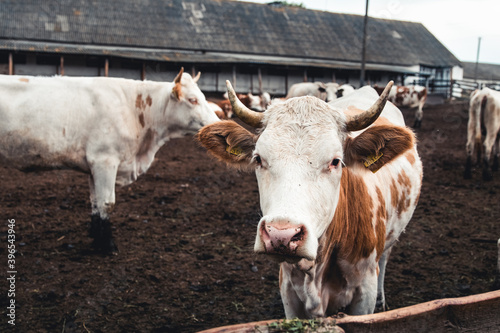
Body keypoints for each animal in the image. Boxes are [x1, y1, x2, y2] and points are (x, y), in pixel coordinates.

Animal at [0, 68, 219, 253]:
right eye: (192, 100)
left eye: (203, 97)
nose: (217, 125)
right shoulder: (104, 160)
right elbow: (107, 203)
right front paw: (107, 245)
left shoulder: (93, 165)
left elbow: (95, 202)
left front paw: (96, 236)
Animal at [197, 80, 424, 316]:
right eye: (258, 159)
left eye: (336, 161)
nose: (281, 235)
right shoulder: (288, 290)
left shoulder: (365, 291)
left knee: (386, 257)